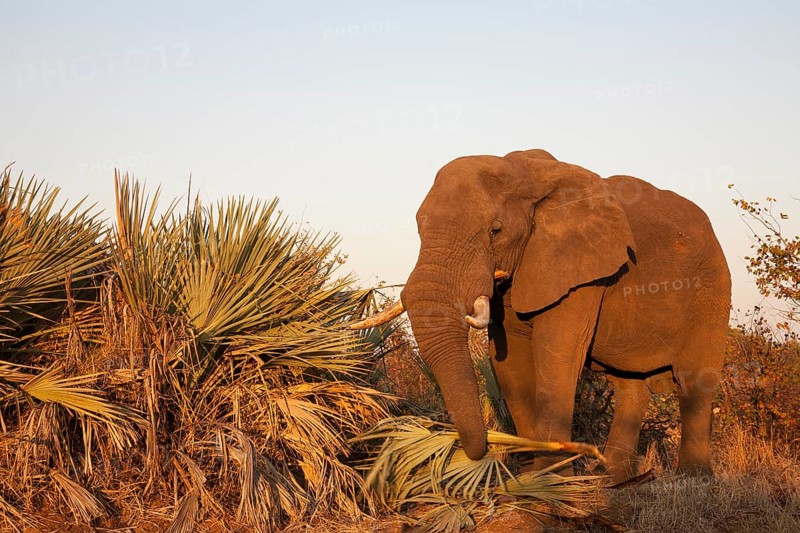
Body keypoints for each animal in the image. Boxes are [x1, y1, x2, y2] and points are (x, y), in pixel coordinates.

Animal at [353, 149, 731, 483]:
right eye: (419, 230)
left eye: (495, 231)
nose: (479, 451)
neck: (523, 173)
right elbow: (509, 363)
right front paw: (534, 480)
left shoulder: (581, 270)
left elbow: (557, 353)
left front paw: (555, 484)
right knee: (629, 387)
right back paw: (613, 480)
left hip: (711, 288)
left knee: (694, 382)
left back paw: (694, 482)